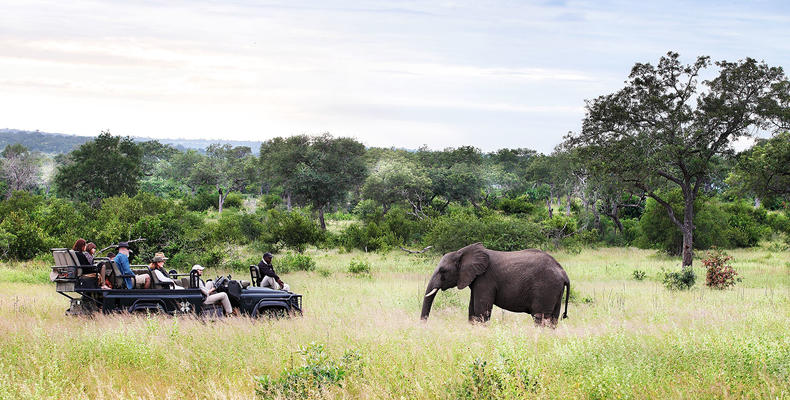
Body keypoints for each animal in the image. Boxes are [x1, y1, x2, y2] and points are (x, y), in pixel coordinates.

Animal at [424, 242, 572, 326]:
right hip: (555, 290)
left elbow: (481, 311)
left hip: (546, 288)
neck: (462, 252)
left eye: (443, 271)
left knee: (540, 319)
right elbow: (472, 310)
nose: (424, 325)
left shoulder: (485, 279)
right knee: (553, 319)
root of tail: (563, 273)